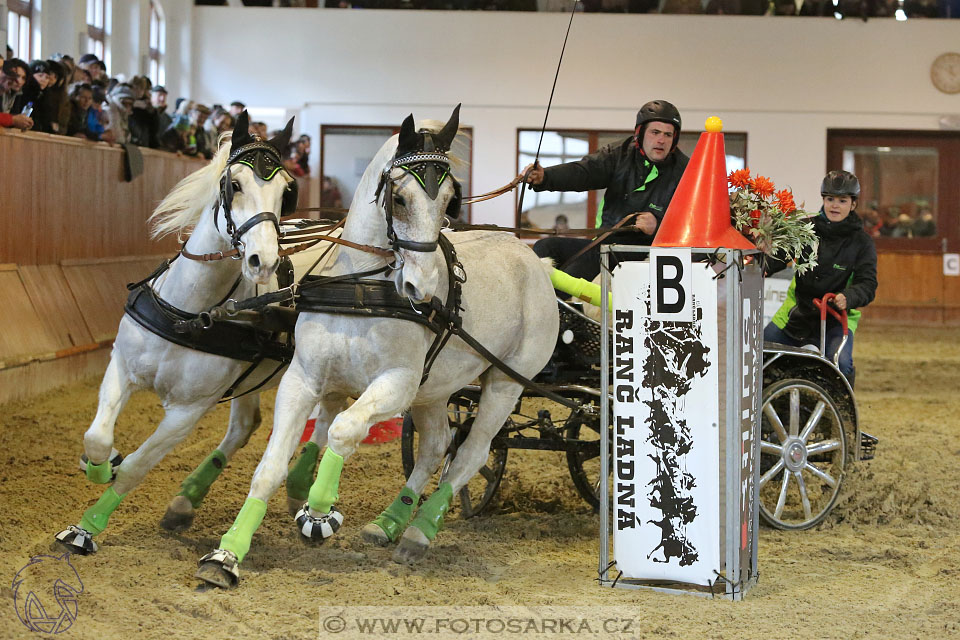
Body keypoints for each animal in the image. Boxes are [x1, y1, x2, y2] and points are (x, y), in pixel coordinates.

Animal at [57, 114, 334, 556]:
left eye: (285, 191)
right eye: (234, 184)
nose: (263, 260)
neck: (187, 313)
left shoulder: (187, 412)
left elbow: (137, 467)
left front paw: (87, 527)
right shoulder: (121, 364)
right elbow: (97, 436)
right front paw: (99, 467)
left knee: (324, 418)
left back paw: (300, 487)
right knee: (246, 425)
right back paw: (186, 501)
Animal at [195, 106, 560, 592]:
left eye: (449, 200)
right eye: (400, 198)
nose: (422, 289)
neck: (361, 285)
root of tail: (535, 260)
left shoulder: (397, 383)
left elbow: (343, 429)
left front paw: (318, 508)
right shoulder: (303, 378)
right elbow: (269, 468)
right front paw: (226, 556)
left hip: (505, 382)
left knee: (470, 454)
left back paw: (419, 532)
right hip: (435, 389)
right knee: (436, 446)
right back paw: (389, 523)